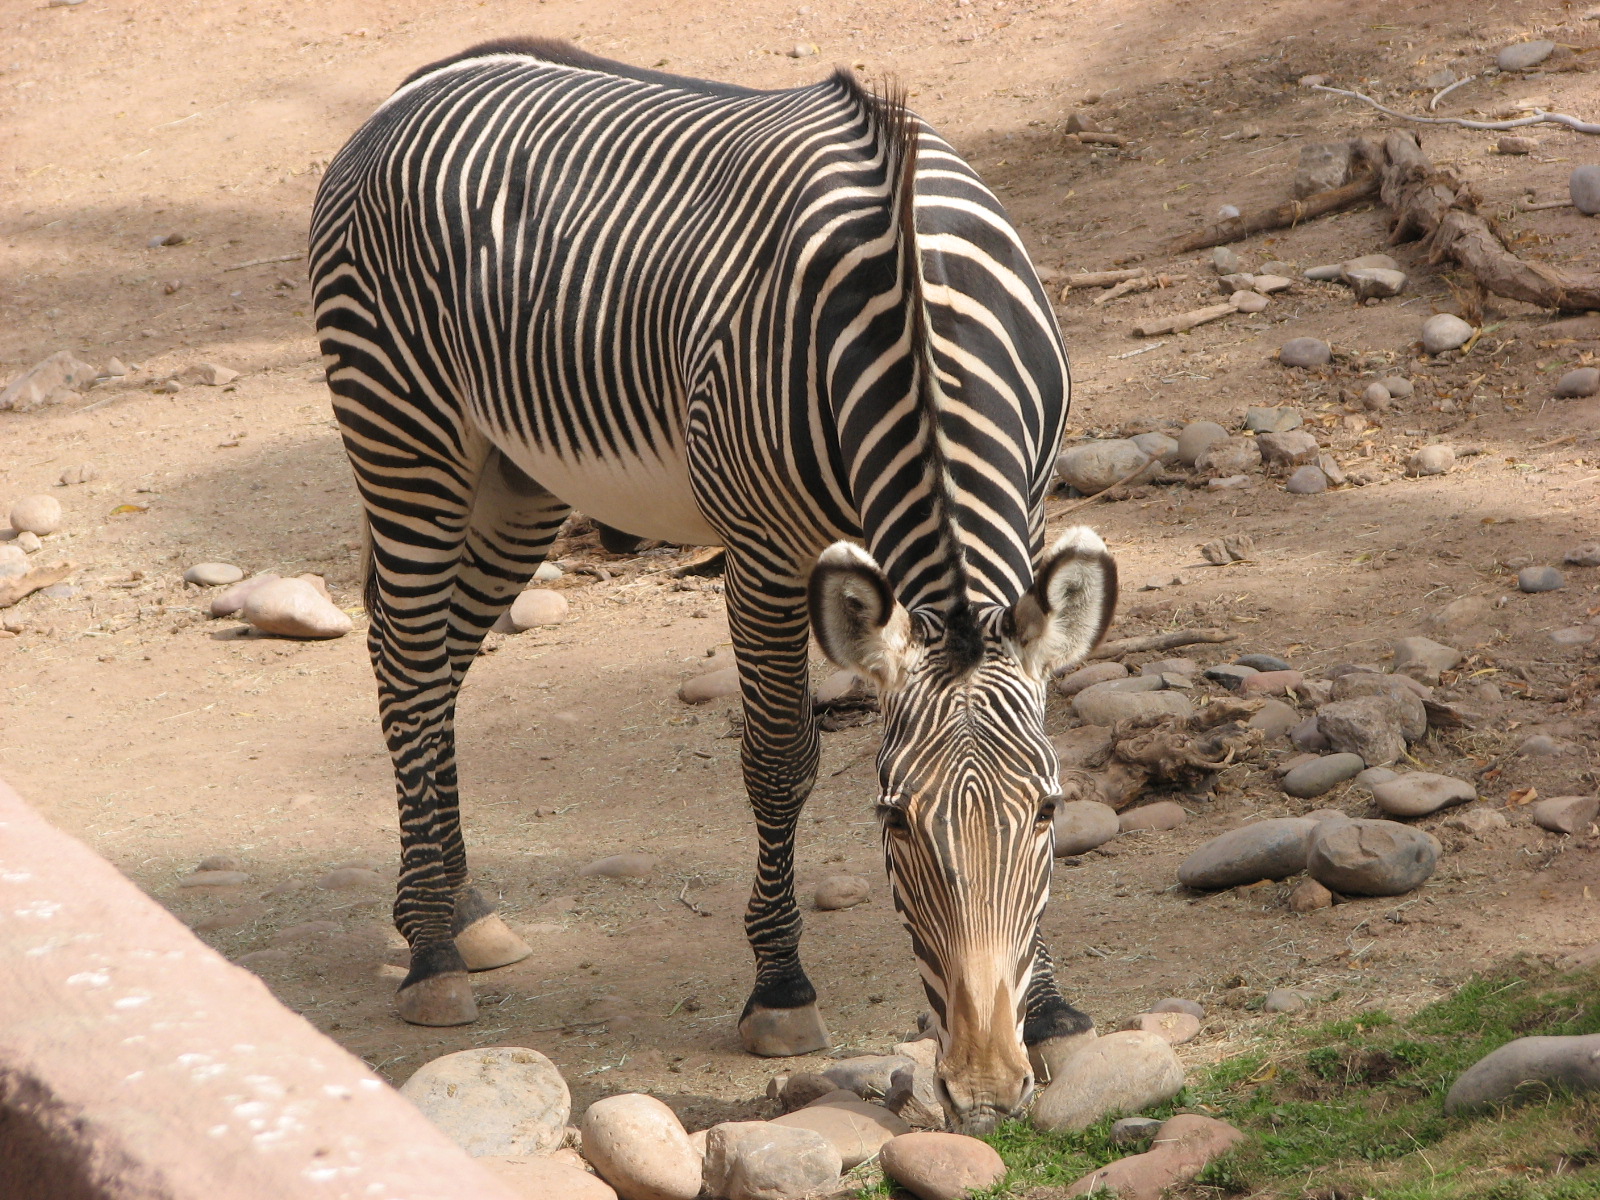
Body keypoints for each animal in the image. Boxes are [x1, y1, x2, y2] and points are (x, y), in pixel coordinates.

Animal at [309, 37, 1118, 1132]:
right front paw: (779, 989)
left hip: (515, 479)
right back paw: (432, 946)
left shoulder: (1030, 508)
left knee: (438, 670)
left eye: (1045, 810)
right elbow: (778, 761)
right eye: (891, 820)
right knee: (406, 666)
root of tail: (425, 78)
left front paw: (1052, 1007)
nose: (985, 1090)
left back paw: (464, 908)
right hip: (405, 435)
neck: (913, 302)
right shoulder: (764, 551)